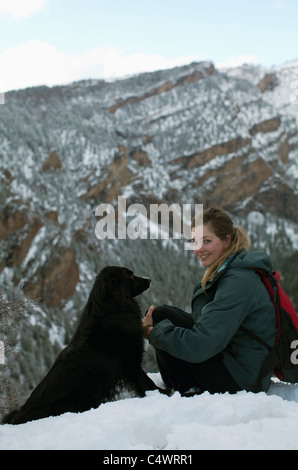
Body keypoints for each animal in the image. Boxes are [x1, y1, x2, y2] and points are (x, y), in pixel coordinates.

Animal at [1, 266, 163, 424]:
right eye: (129, 275)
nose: (149, 280)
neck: (111, 312)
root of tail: (18, 415)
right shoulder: (130, 362)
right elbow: (146, 384)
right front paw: (163, 393)